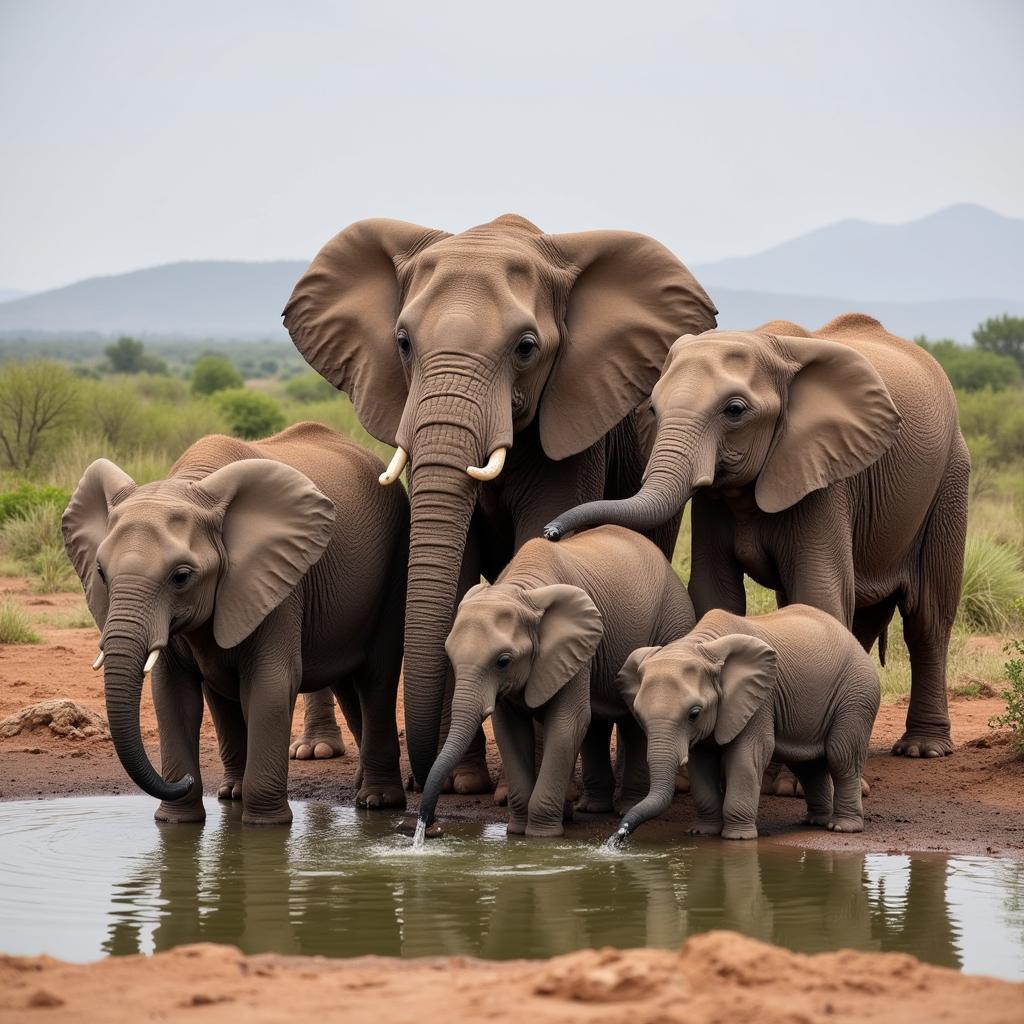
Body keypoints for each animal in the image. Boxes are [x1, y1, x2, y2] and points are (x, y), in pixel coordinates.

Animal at [60, 419, 407, 827]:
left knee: (376, 678)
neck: (191, 485)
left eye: (181, 576)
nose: (183, 780)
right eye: (100, 572)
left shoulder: (278, 585)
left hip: (394, 566)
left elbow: (270, 684)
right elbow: (172, 692)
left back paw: (378, 801)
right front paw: (180, 821)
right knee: (346, 683)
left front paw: (264, 827)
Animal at [280, 214, 712, 790]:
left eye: (526, 347)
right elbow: (456, 564)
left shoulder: (572, 419)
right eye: (403, 342)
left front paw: (510, 788)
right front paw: (463, 784)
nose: (419, 782)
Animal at [415, 524, 696, 835]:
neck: (521, 589)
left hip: (672, 622)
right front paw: (517, 831)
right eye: (450, 657)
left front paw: (541, 835)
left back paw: (622, 808)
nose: (429, 825)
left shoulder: (575, 649)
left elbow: (567, 722)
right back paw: (591, 809)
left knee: (630, 718)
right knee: (598, 721)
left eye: (503, 661)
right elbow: (509, 729)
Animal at [544, 313, 966, 761]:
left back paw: (923, 749)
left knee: (928, 618)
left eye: (734, 411)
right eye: (653, 409)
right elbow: (716, 593)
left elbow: (818, 591)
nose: (551, 532)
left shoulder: (825, 478)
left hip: (950, 480)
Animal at [610, 606, 884, 839]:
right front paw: (702, 832)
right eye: (639, 715)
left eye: (694, 714)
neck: (700, 645)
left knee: (840, 755)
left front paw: (738, 838)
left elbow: (748, 753)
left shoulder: (760, 698)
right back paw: (816, 821)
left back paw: (841, 828)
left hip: (857, 693)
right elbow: (702, 761)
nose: (619, 836)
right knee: (807, 764)